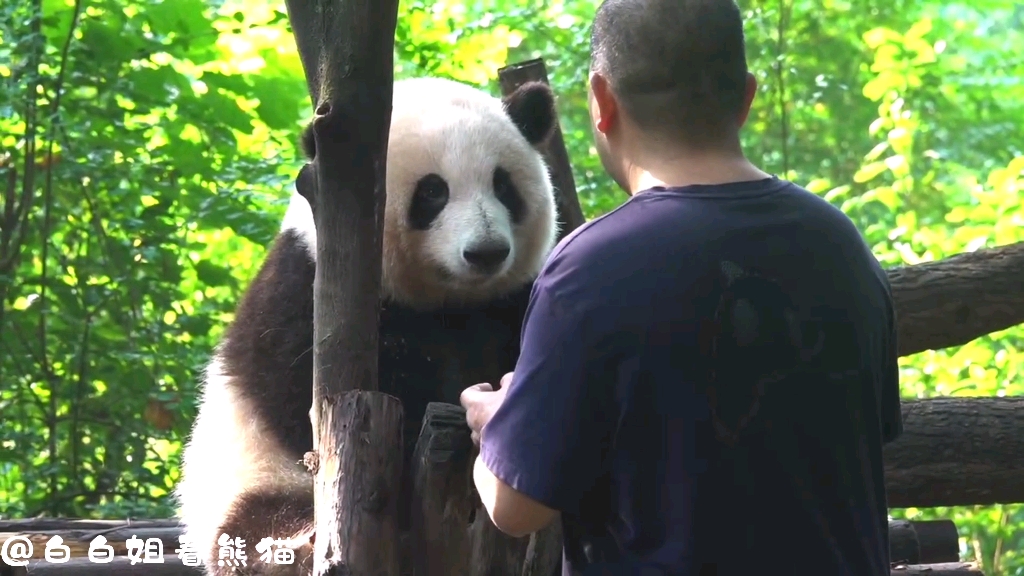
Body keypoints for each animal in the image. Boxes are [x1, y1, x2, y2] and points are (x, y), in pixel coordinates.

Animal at [176, 76, 561, 573]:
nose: (486, 252)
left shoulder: (509, 301)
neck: (449, 300)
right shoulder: (305, 291)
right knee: (259, 527)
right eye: (432, 192)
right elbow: (294, 390)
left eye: (503, 185)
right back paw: (298, 540)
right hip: (247, 477)